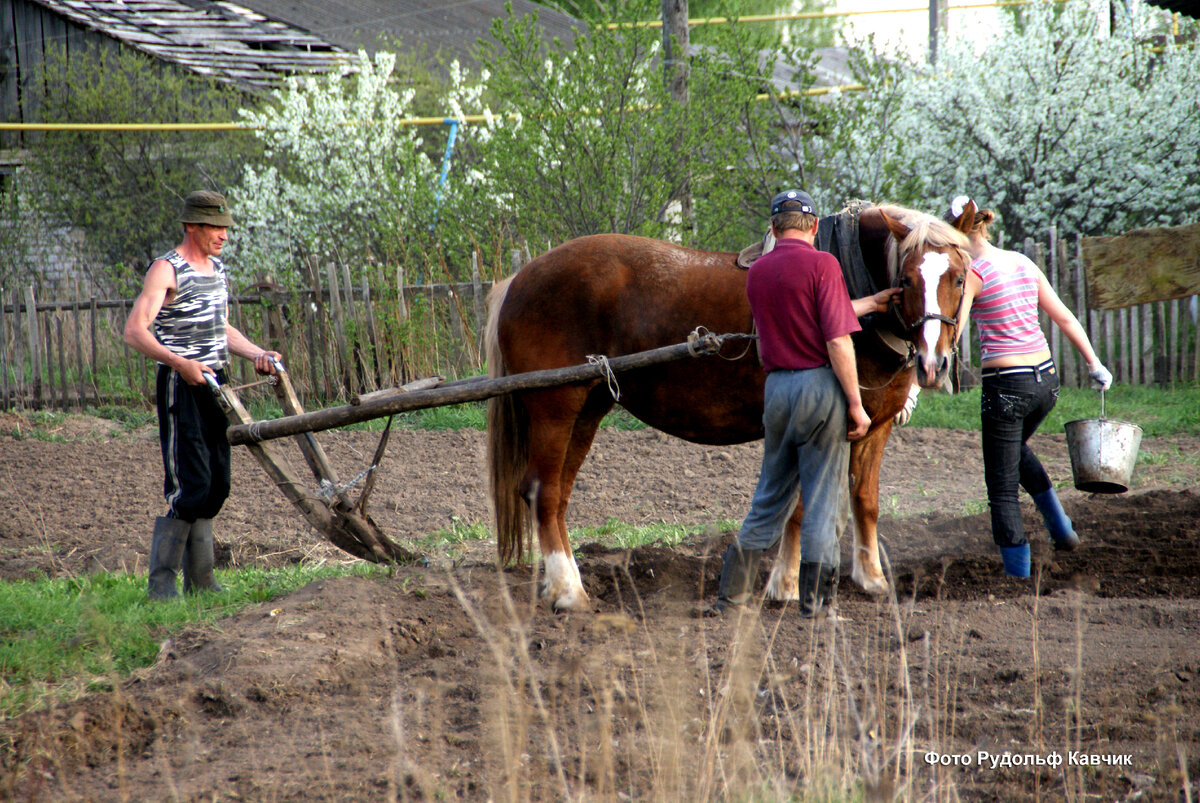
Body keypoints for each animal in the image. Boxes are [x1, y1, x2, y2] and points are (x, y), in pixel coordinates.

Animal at [482, 204, 969, 609]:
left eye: (959, 279)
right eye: (906, 280)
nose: (933, 363)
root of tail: (519, 279)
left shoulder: (873, 425)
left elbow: (863, 500)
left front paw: (871, 580)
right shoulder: (823, 425)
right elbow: (802, 508)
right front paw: (786, 586)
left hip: (587, 409)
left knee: (558, 496)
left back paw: (559, 583)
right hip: (555, 408)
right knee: (542, 492)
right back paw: (569, 591)